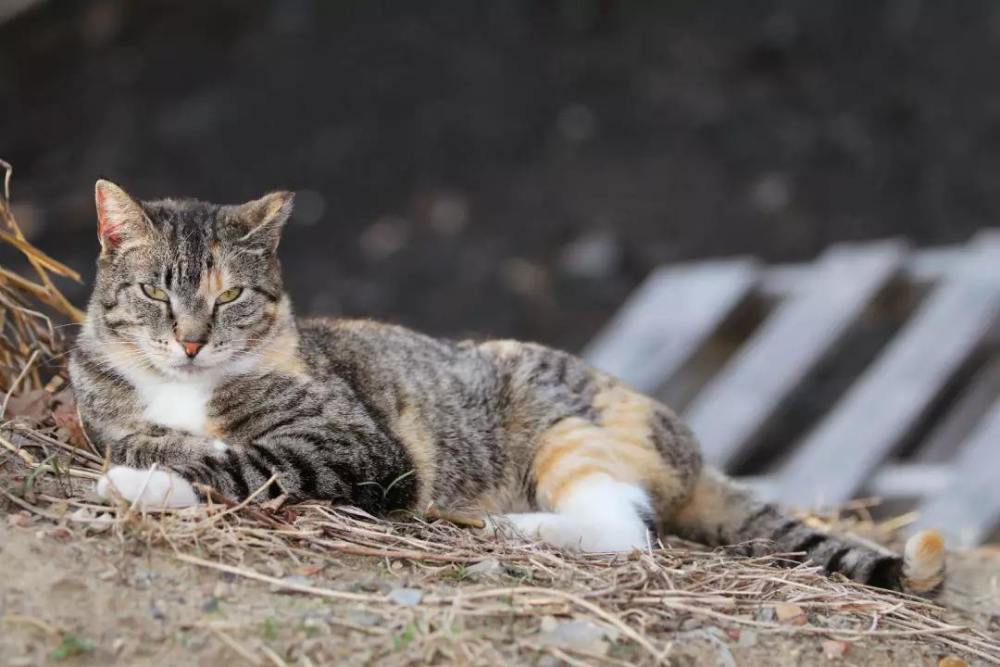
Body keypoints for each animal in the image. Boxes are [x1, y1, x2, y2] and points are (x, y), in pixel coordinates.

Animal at [70, 181, 944, 596]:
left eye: (230, 297)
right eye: (154, 292)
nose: (191, 338)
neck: (183, 387)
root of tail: (692, 445)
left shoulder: (360, 445)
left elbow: (249, 463)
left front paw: (144, 483)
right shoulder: (108, 411)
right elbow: (163, 441)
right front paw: (149, 460)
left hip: (560, 423)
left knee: (625, 529)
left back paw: (510, 526)